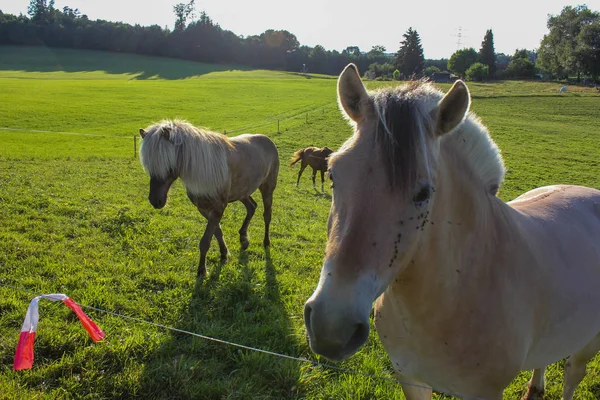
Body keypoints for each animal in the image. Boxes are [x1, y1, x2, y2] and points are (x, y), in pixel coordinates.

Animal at [302, 64, 600, 398]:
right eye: (332, 174)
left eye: (424, 193)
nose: (331, 327)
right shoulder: (411, 379)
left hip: (589, 342)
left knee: (572, 373)